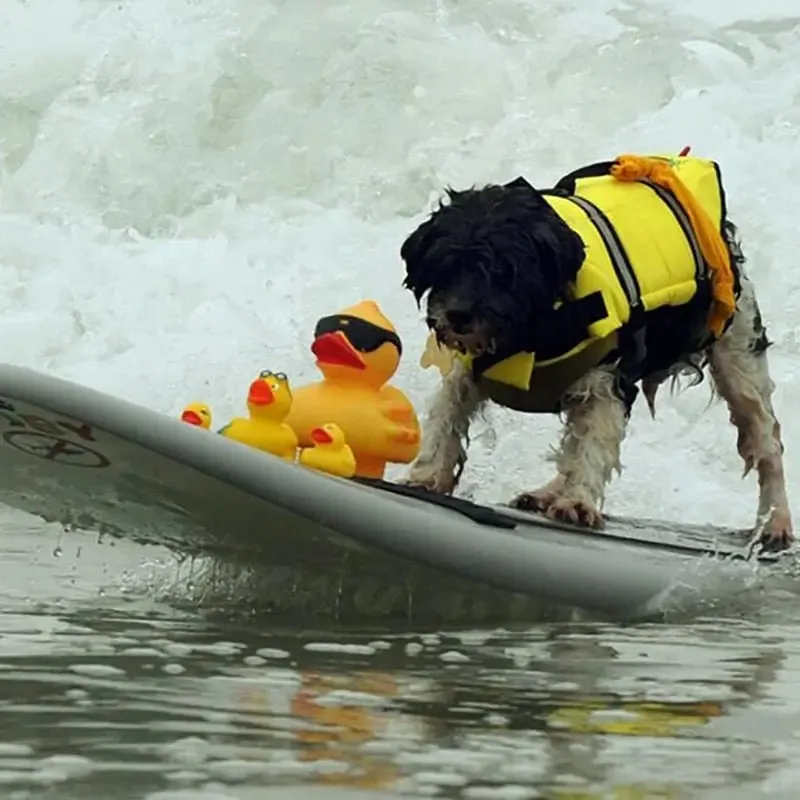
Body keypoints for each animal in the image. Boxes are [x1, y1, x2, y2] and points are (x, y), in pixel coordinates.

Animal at [396, 152, 792, 552]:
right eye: (446, 265)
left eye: (504, 271)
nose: (458, 315)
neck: (532, 331)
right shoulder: (469, 369)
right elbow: (448, 412)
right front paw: (427, 475)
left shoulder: (607, 382)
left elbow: (592, 444)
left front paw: (577, 501)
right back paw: (546, 492)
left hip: (738, 353)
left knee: (765, 438)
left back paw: (776, 522)